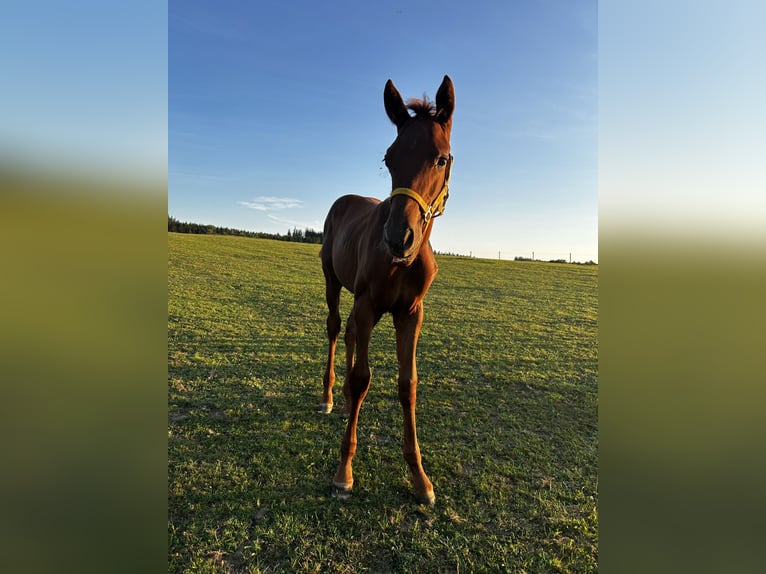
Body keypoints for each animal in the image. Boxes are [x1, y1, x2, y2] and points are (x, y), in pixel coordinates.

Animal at [319, 75, 455, 505]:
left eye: (441, 158)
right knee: (335, 328)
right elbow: (364, 378)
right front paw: (343, 472)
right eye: (390, 158)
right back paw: (330, 395)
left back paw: (345, 399)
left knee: (348, 335)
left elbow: (407, 383)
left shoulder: (411, 313)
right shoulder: (368, 305)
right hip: (332, 280)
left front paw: (420, 478)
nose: (399, 238)